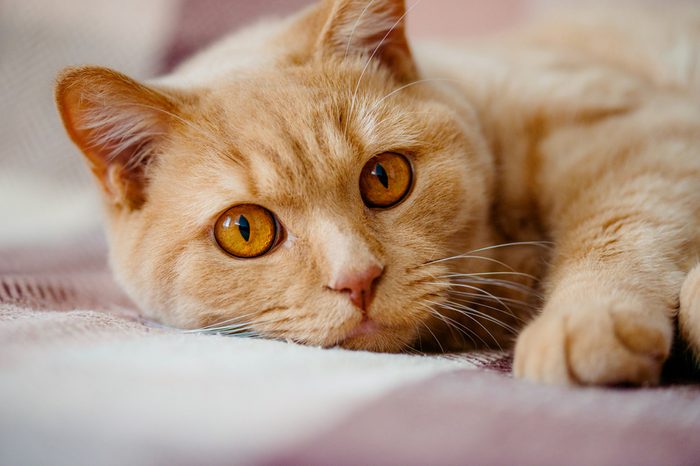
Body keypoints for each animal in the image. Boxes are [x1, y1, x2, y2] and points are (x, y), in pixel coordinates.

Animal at [54, 0, 700, 386]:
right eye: (244, 230)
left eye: (384, 178)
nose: (357, 279)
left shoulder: (642, 130)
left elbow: (622, 221)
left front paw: (586, 318)